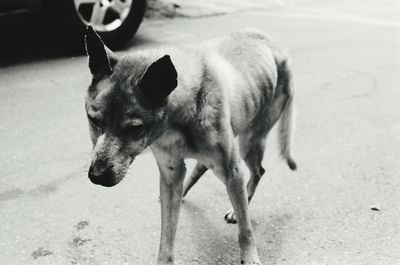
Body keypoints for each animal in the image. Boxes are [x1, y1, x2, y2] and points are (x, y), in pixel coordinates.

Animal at [83, 25, 296, 264]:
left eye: (134, 128)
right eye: (93, 120)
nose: (97, 176)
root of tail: (275, 47)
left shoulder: (233, 171)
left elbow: (246, 229)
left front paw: (249, 256)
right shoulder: (170, 175)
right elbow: (166, 238)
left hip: (248, 143)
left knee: (257, 172)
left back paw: (242, 201)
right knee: (201, 168)